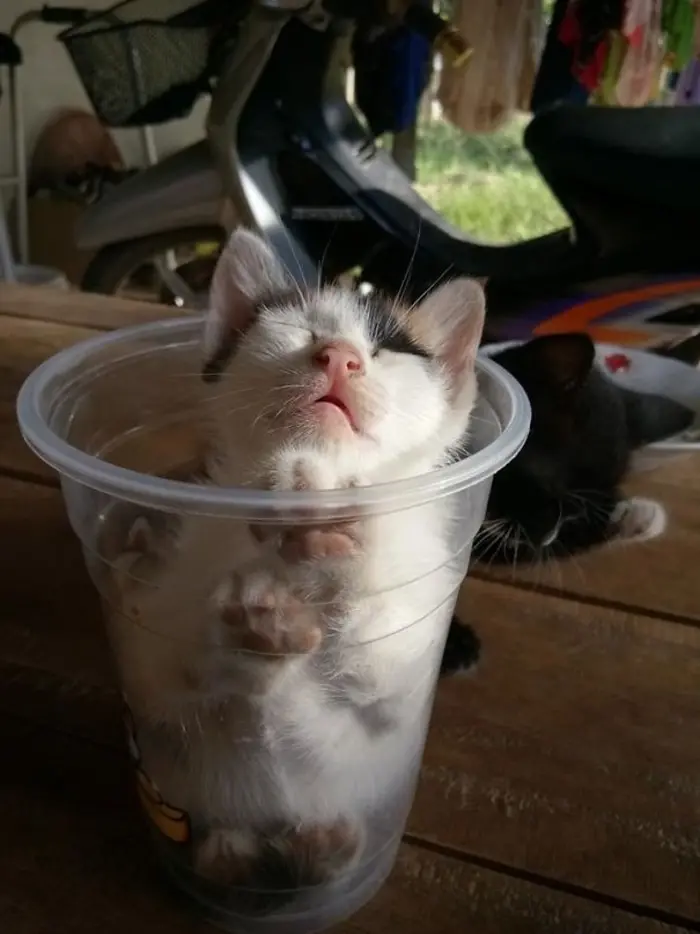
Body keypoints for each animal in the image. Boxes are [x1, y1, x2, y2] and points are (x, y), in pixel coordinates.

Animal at [106, 229, 484, 908]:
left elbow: (387, 666)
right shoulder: (149, 673)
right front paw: (257, 620)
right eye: (299, 328)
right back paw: (233, 851)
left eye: (387, 347)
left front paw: (340, 534)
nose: (340, 357)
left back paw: (322, 846)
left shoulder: (413, 654)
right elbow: (161, 668)